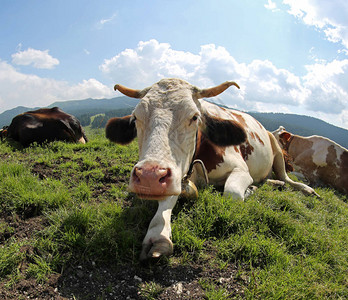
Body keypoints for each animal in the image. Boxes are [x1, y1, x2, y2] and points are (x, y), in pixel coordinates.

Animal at [105, 78, 318, 262]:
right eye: (135, 118)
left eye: (194, 117)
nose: (149, 176)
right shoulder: (174, 178)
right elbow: (166, 202)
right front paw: (158, 236)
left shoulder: (241, 170)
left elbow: (232, 193)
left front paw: (250, 191)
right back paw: (274, 183)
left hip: (276, 148)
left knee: (286, 177)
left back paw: (305, 189)